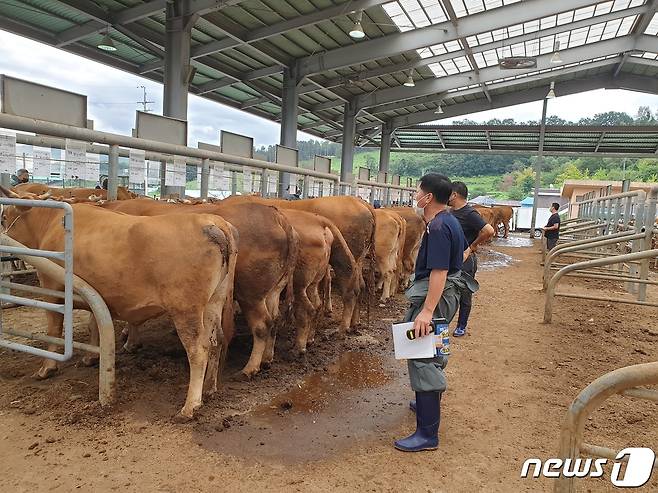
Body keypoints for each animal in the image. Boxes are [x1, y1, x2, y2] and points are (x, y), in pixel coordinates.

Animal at [0, 186, 236, 418]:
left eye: (3, 217)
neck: (51, 224)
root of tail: (214, 223)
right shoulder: (95, 292)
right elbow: (95, 324)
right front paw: (90, 357)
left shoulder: (52, 290)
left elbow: (54, 332)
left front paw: (46, 369)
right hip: (214, 302)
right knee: (216, 341)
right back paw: (210, 388)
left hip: (186, 310)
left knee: (198, 350)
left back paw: (190, 406)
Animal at [100, 198, 298, 378]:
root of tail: (275, 215)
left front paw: (129, 342)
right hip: (273, 290)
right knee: (274, 319)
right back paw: (266, 359)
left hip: (250, 294)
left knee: (262, 325)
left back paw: (250, 368)